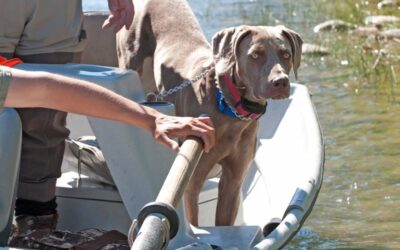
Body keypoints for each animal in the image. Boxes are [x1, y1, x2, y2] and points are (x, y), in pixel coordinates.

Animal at [117, 0, 302, 226]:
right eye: (255, 55)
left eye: (286, 54)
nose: (280, 82)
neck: (230, 108)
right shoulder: (192, 182)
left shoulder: (233, 181)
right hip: (130, 59)